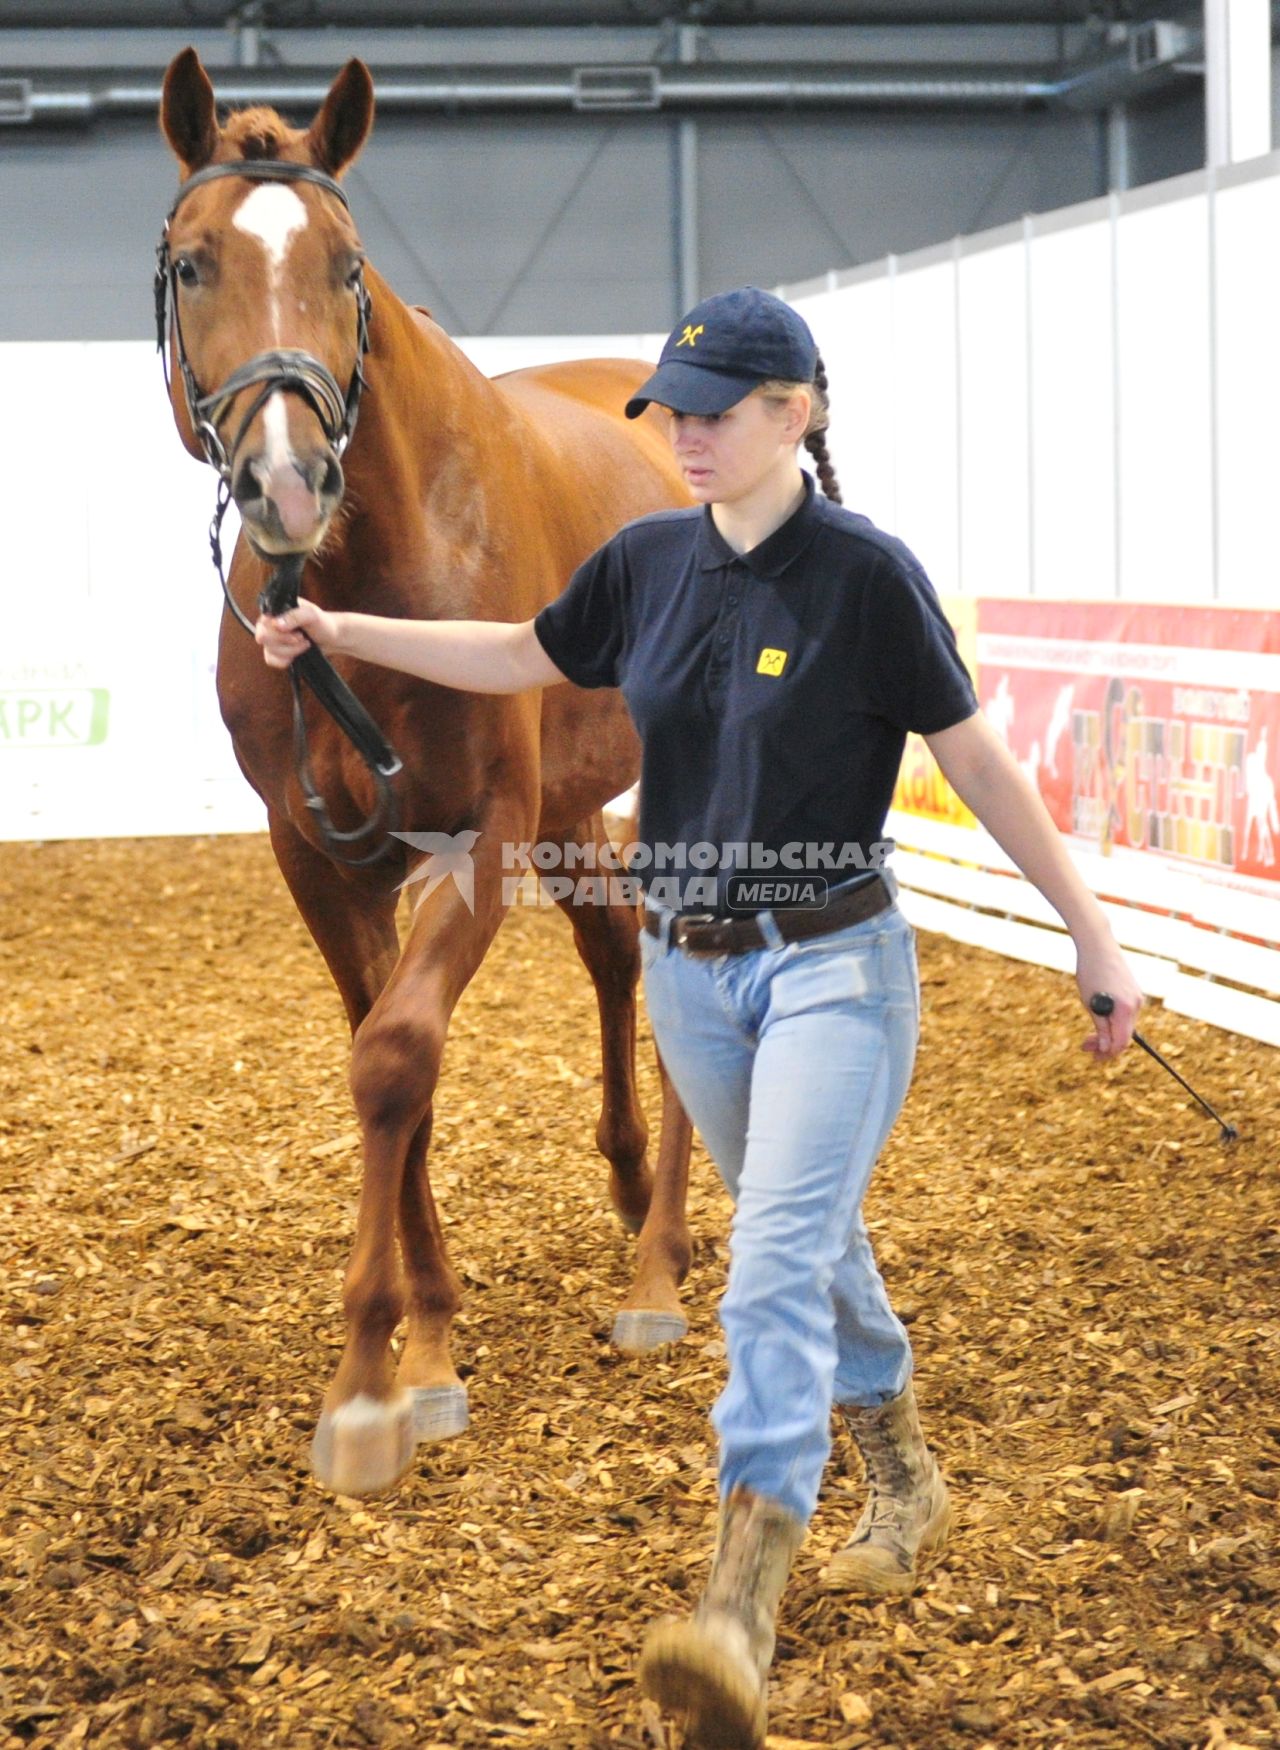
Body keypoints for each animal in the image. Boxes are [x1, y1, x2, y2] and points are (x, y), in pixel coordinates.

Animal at [161, 47, 700, 1498]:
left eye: (348, 267)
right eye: (192, 262)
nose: (289, 480)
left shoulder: (487, 827)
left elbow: (399, 1052)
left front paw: (366, 1382)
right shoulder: (318, 849)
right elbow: (379, 1050)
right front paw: (426, 1338)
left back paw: (659, 1263)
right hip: (576, 803)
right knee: (617, 948)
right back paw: (635, 1196)